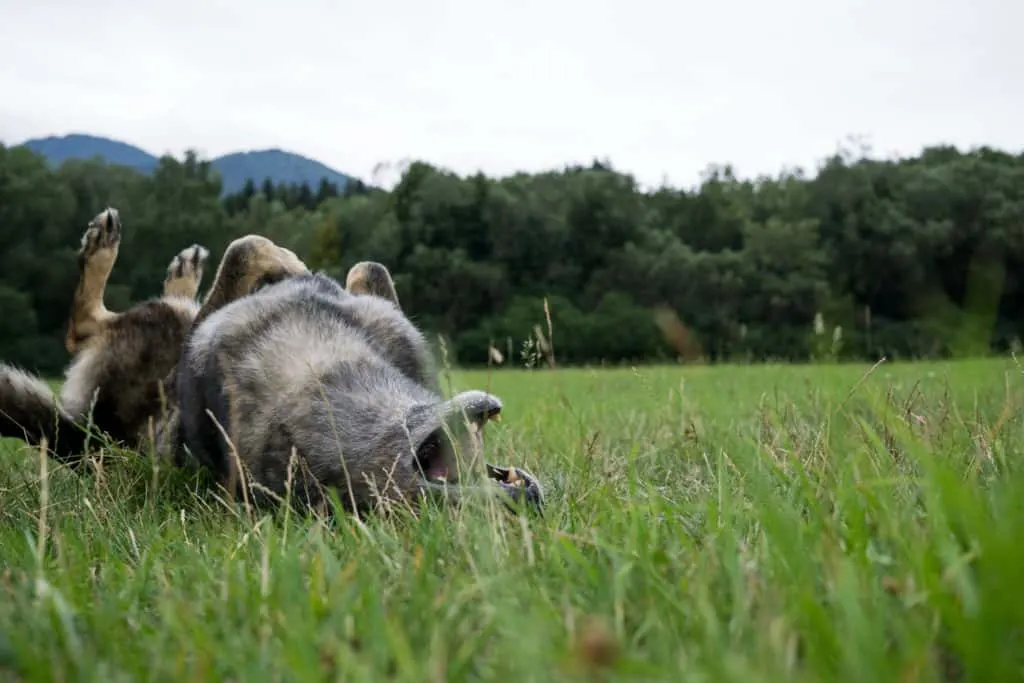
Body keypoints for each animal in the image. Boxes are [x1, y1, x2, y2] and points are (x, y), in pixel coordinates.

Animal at [0, 205, 544, 516]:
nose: (532, 495)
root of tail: (91, 437)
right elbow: (365, 266)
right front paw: (302, 270)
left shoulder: (195, 355)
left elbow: (247, 248)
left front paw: (292, 265)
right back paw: (180, 270)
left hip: (153, 335)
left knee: (84, 326)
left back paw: (128, 253)